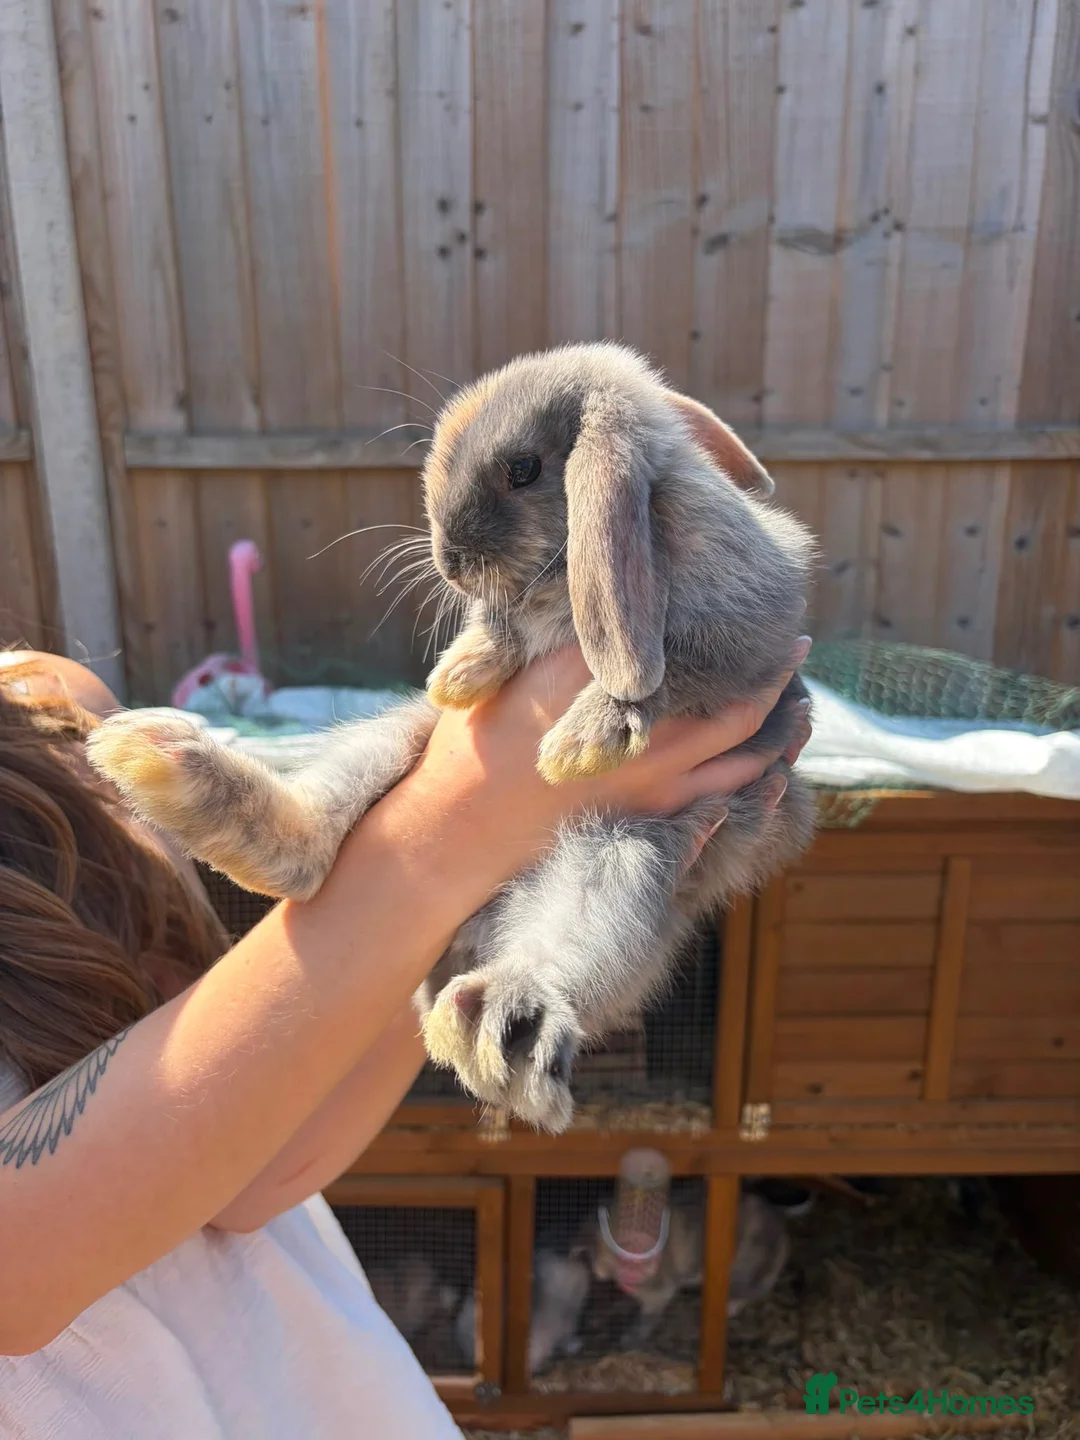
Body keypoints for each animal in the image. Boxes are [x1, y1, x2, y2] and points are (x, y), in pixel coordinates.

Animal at [87, 341, 816, 1134]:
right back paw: (165, 769)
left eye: (524, 468)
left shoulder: (751, 641)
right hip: (407, 740)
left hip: (630, 846)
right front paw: (463, 672)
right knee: (311, 845)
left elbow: (670, 671)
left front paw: (582, 741)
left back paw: (501, 1021)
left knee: (565, 947)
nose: (450, 563)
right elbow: (501, 630)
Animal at [587, 1190, 789, 1349]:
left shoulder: (659, 1292)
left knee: (749, 1293)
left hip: (743, 1270)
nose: (598, 1269)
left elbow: (646, 1319)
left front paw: (632, 1338)